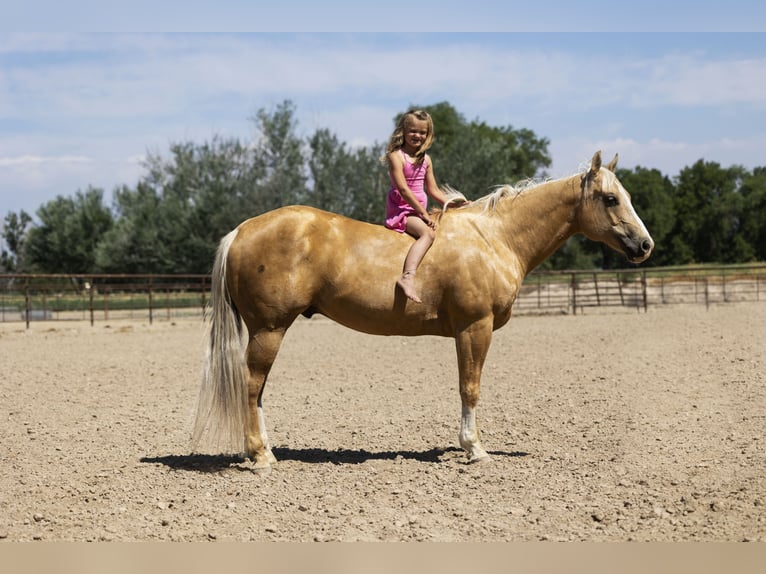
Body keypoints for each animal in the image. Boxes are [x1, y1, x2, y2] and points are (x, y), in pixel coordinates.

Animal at [192, 151, 656, 470]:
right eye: (610, 199)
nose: (645, 245)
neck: (494, 237)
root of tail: (241, 230)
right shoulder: (474, 327)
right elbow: (470, 388)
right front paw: (474, 448)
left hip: (267, 331)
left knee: (258, 391)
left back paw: (266, 450)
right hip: (269, 329)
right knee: (251, 385)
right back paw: (259, 456)